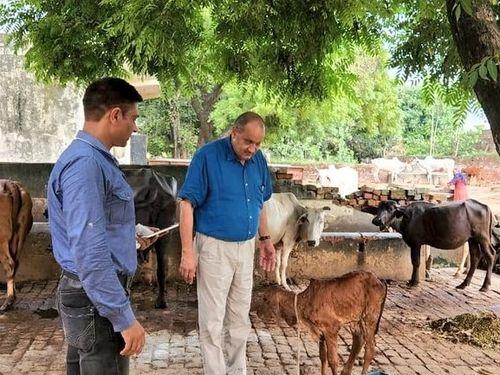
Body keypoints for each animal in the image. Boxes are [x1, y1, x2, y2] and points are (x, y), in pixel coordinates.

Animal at [258, 272, 386, 375]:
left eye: (265, 299)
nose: (258, 314)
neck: (306, 301)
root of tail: (379, 280)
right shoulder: (320, 332)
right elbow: (322, 357)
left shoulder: (331, 329)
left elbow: (333, 360)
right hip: (356, 321)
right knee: (358, 341)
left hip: (369, 318)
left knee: (370, 349)